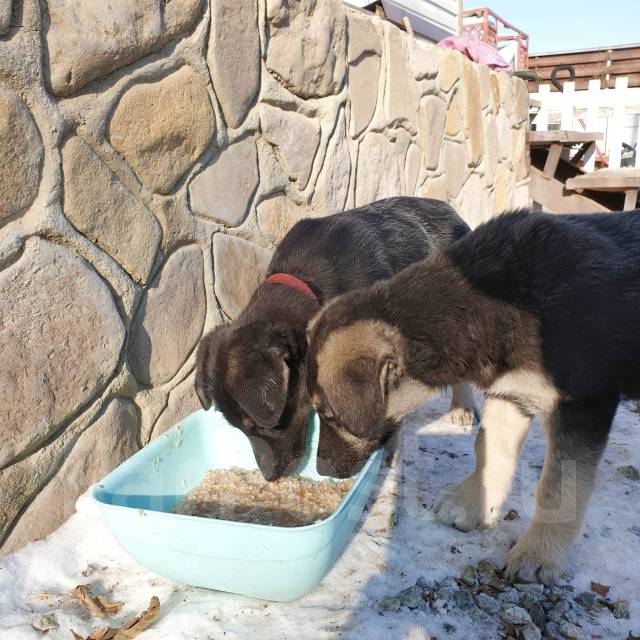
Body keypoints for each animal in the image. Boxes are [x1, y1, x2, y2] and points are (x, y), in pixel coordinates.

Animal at [198, 195, 478, 480]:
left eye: (262, 425)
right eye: (240, 428)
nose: (269, 477)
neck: (306, 282)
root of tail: (449, 209)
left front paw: (390, 450)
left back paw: (461, 406)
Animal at [306, 210, 640, 584]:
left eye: (330, 415)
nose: (321, 470)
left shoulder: (582, 404)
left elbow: (559, 486)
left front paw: (538, 553)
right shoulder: (511, 392)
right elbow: (490, 450)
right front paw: (472, 504)